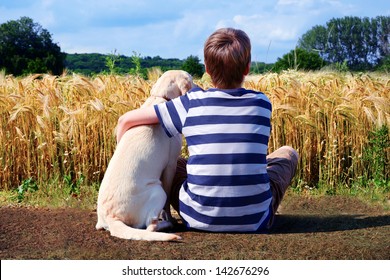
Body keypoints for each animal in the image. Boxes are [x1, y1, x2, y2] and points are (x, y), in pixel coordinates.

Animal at [96, 70, 193, 241]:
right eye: (192, 80)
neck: (161, 97)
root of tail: (111, 217)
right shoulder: (170, 165)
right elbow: (167, 203)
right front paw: (170, 217)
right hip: (158, 190)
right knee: (150, 226)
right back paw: (167, 225)